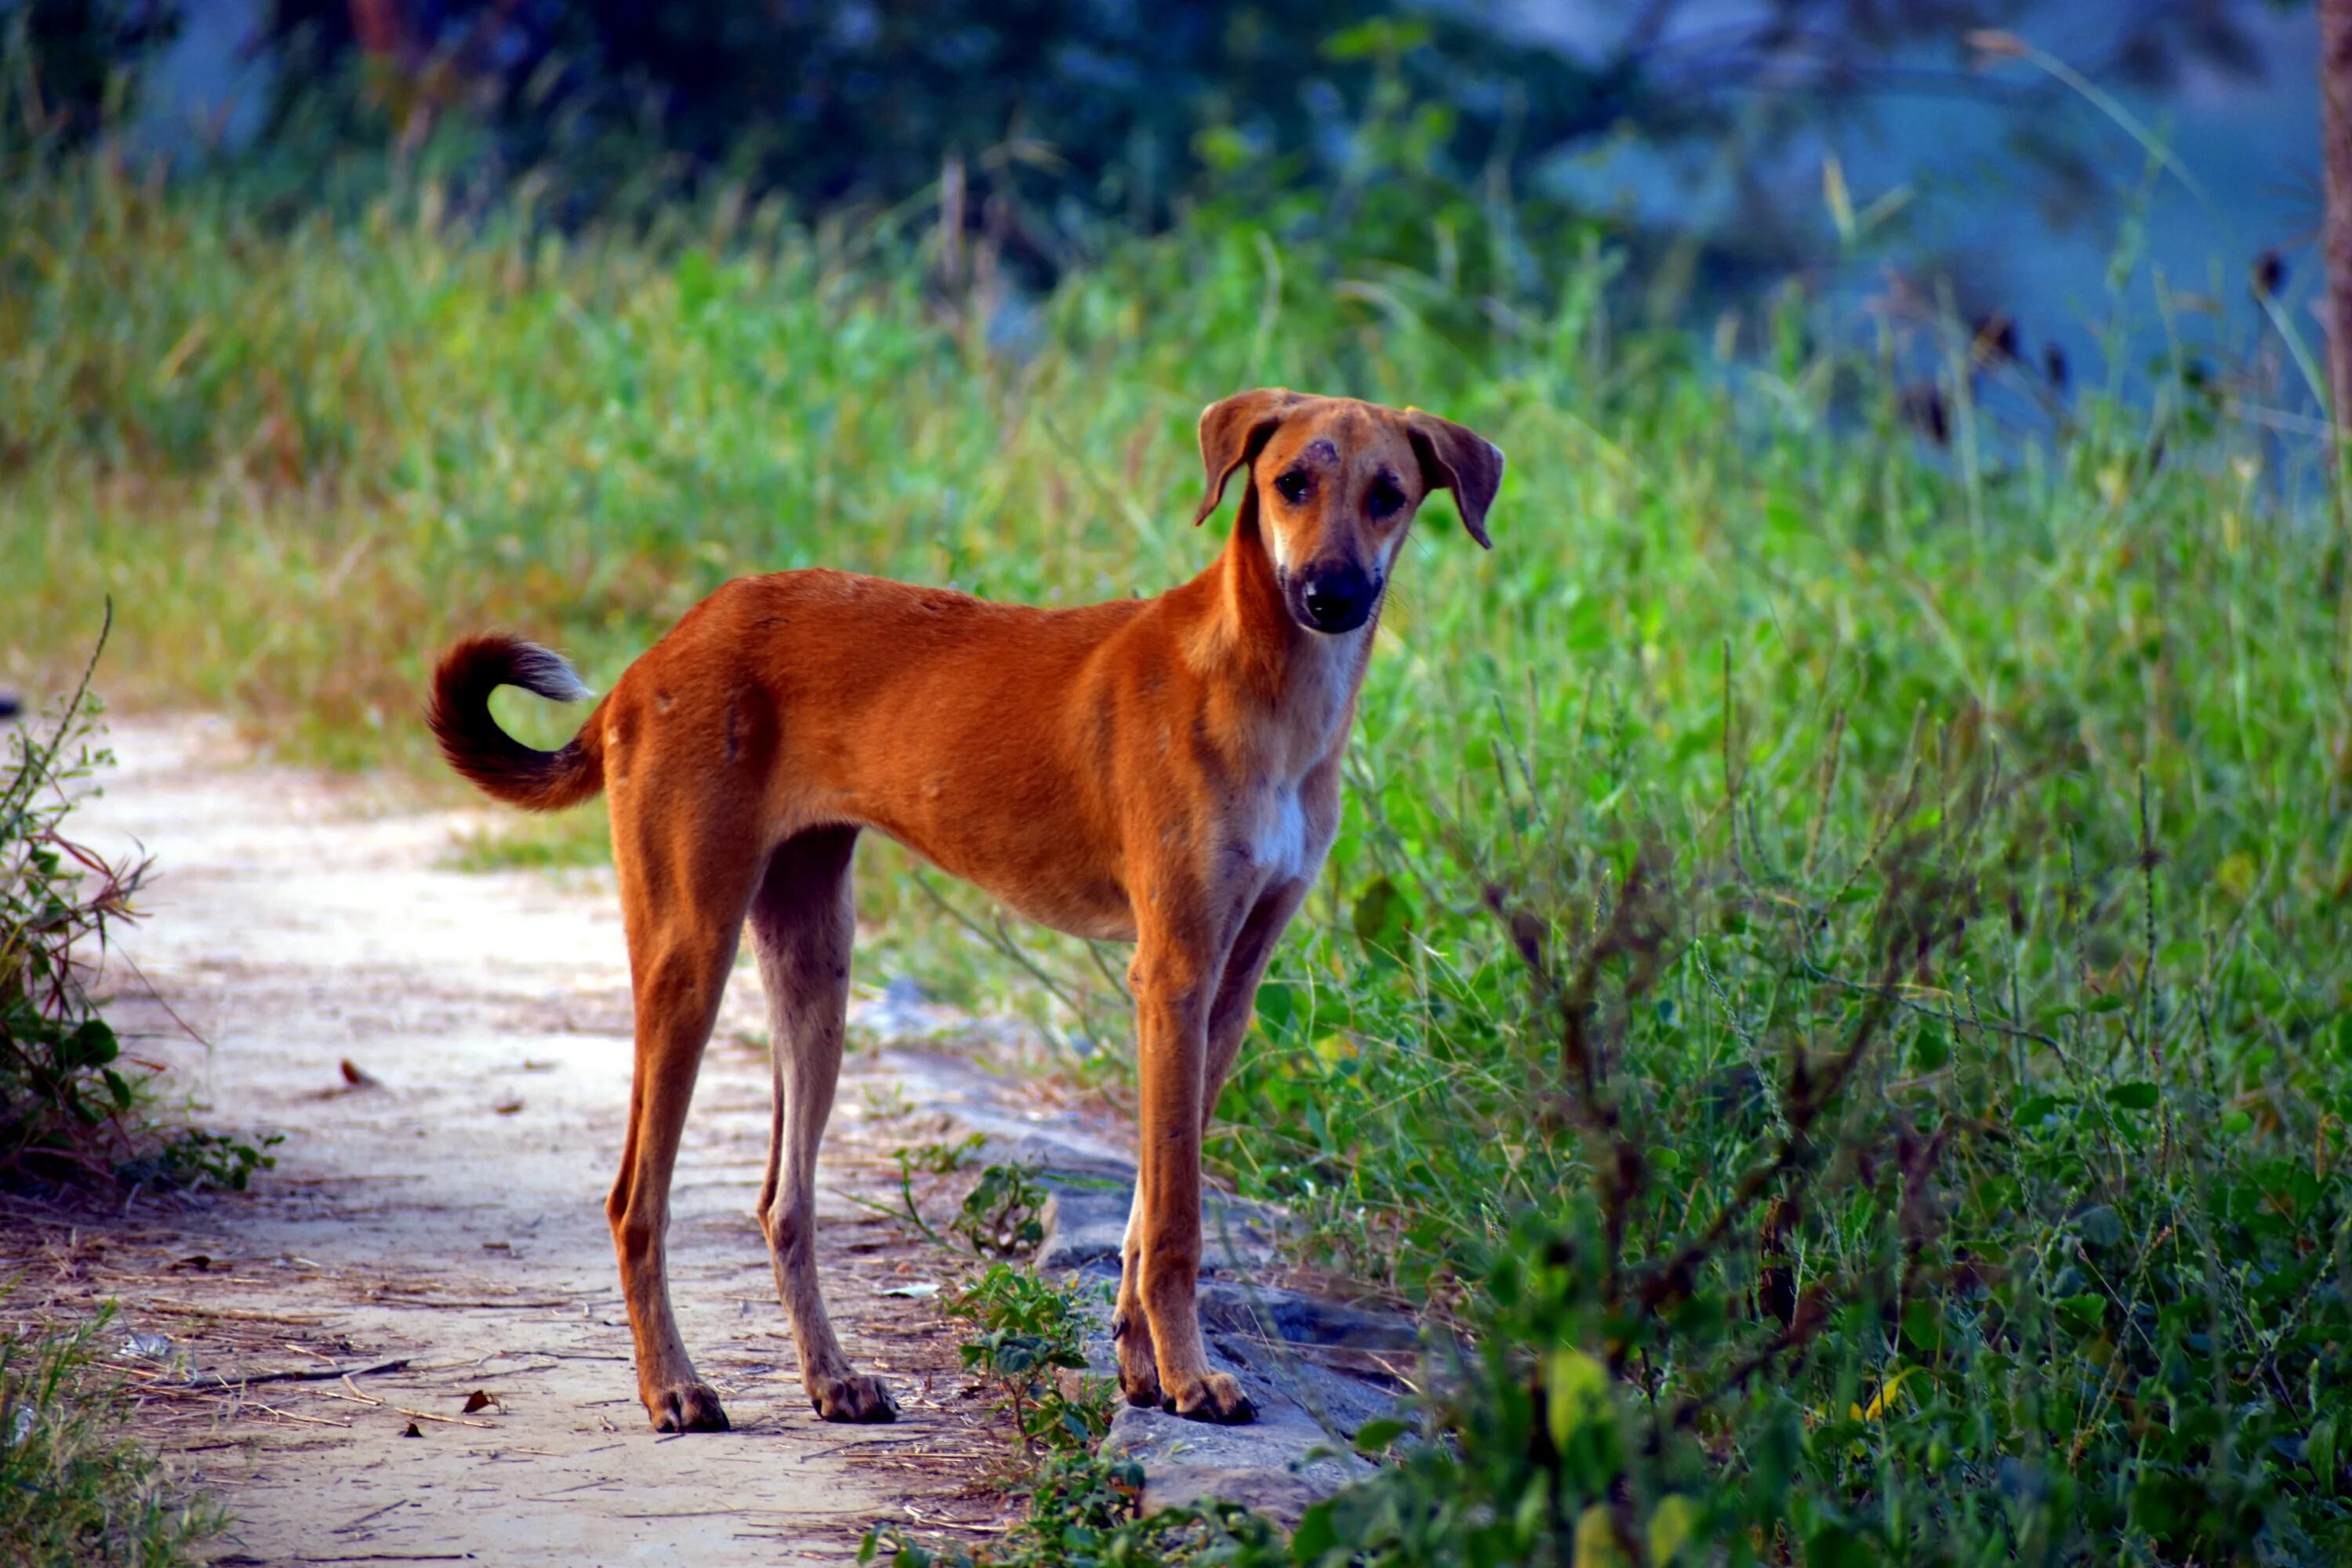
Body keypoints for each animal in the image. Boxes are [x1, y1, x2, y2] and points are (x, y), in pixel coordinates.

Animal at [435, 392, 1505, 1439]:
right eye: (1291, 483)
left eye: (1388, 493)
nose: (1332, 596)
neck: (1257, 681)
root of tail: (654, 655)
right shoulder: (1173, 973)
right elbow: (1174, 1221)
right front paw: (1193, 1377)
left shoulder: (1226, 990)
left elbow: (1147, 1206)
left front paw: (1143, 1366)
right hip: (688, 952)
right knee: (635, 1200)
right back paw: (674, 1388)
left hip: (815, 968)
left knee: (784, 1201)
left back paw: (832, 1378)